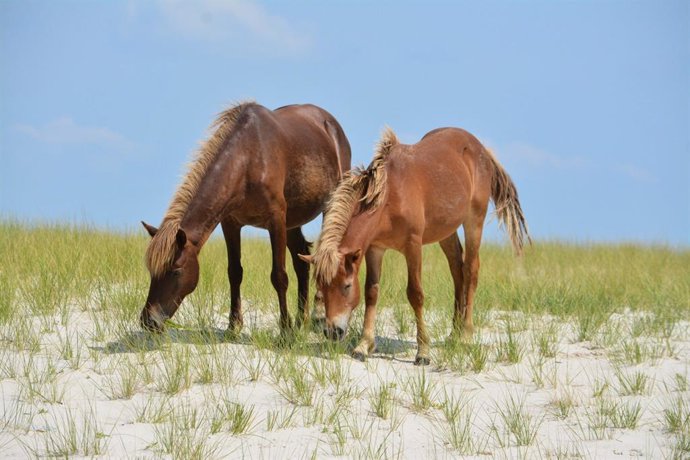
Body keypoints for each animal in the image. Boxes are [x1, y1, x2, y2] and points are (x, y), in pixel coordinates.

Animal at [142, 102, 352, 332]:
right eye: (151, 271)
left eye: (176, 271)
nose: (148, 320)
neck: (248, 160)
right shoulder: (231, 224)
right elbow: (235, 272)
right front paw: (233, 326)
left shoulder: (276, 221)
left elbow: (279, 276)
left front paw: (285, 330)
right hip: (292, 222)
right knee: (302, 261)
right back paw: (300, 321)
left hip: (329, 208)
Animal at [298, 126, 528, 362]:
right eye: (321, 287)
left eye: (346, 286)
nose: (332, 331)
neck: (389, 195)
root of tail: (481, 148)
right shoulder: (375, 248)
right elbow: (372, 292)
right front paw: (364, 345)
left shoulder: (413, 247)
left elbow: (415, 294)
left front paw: (423, 351)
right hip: (446, 231)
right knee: (458, 270)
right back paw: (453, 333)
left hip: (474, 221)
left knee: (471, 271)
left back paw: (465, 335)